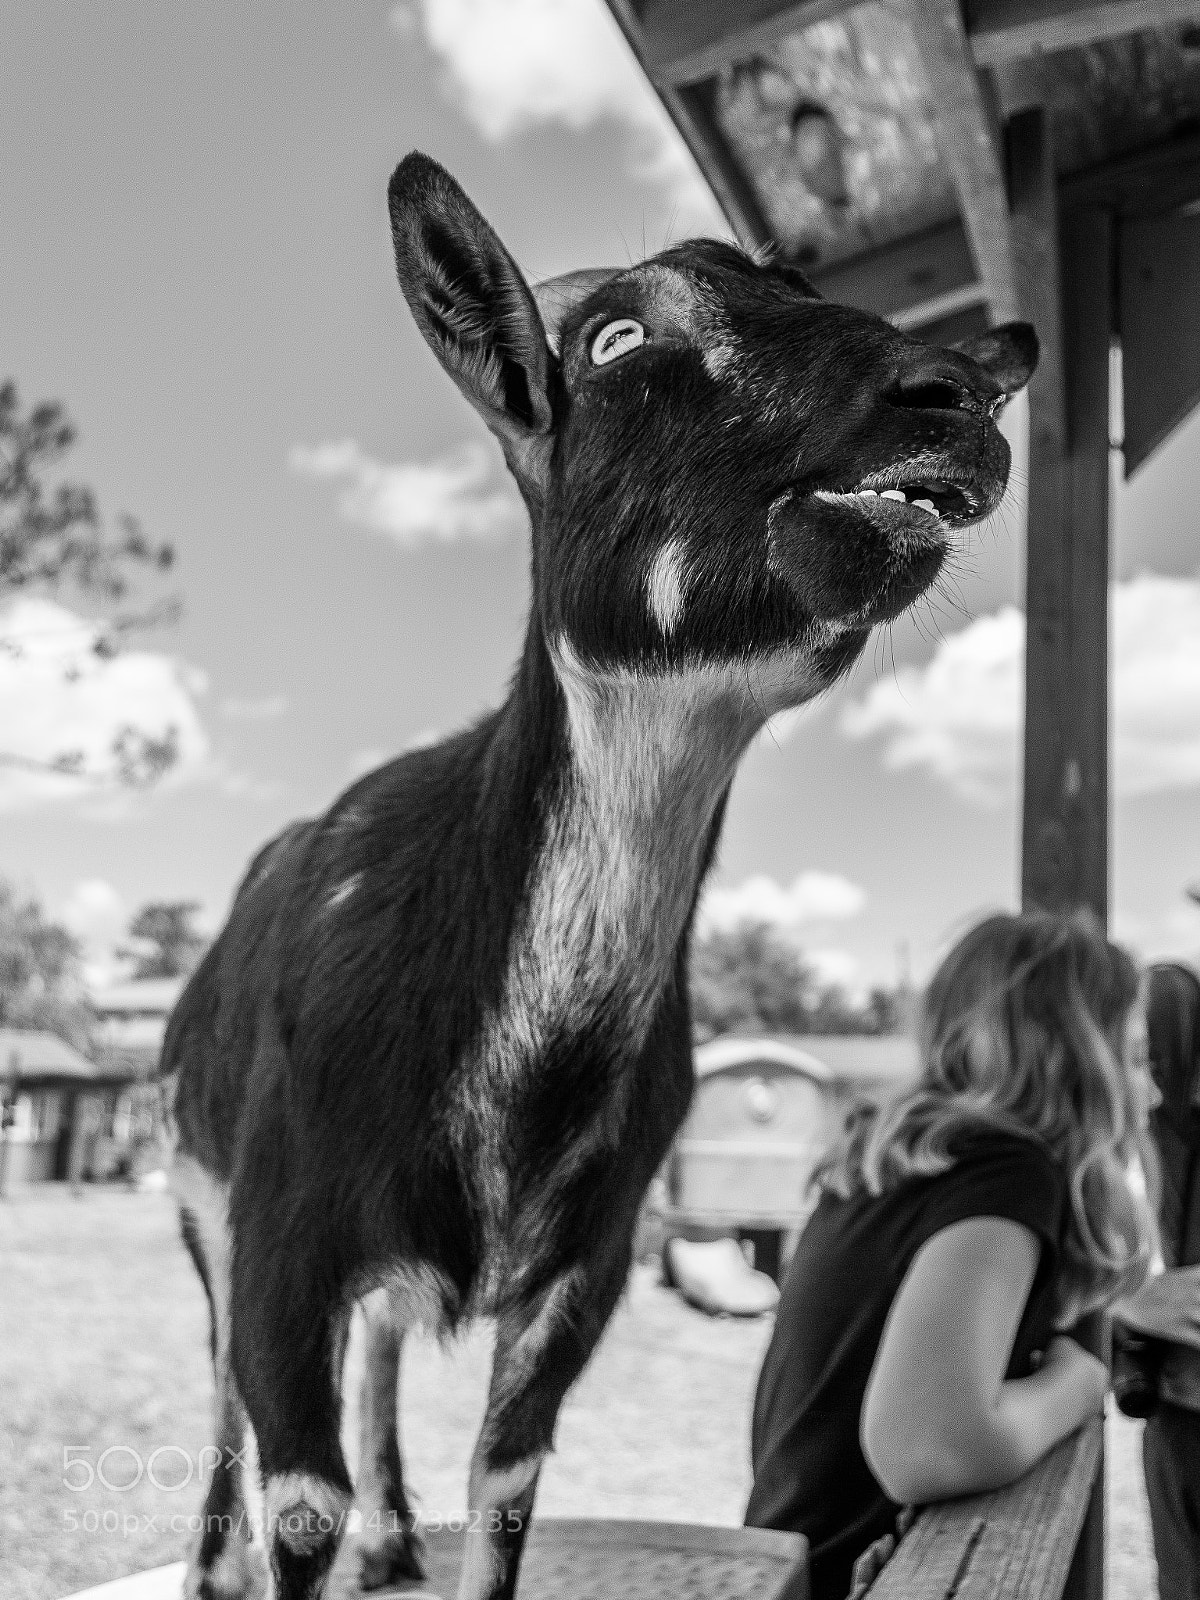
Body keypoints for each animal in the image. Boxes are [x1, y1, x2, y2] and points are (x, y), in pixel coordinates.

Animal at [164, 151, 1037, 1600]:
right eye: (619, 339)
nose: (956, 395)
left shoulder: (589, 1267)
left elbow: (506, 1492)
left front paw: (422, 1531)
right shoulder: (283, 1240)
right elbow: (297, 1502)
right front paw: (276, 1551)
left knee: (388, 1338)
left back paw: (395, 1535)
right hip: (202, 1201)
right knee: (223, 1379)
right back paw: (220, 1561)